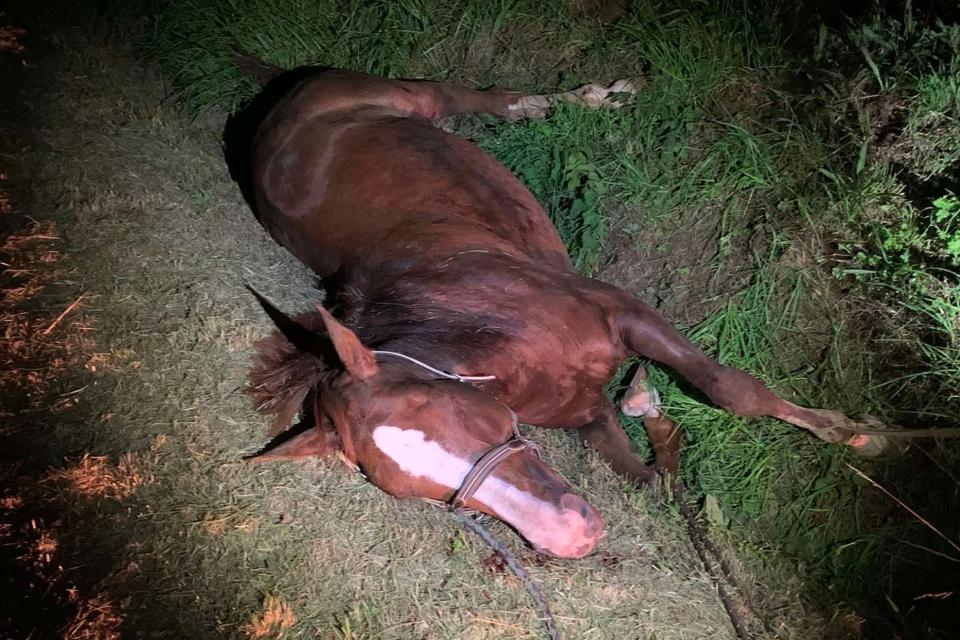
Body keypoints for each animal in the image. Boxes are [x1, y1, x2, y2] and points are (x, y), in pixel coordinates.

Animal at [238, 61, 884, 560]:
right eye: (413, 489)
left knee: (476, 95)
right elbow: (654, 476)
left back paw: (598, 97)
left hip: (405, 95)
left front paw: (863, 435)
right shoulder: (587, 411)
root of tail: (275, 106)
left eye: (447, 409)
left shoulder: (622, 311)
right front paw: (647, 402)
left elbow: (731, 390)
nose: (572, 538)